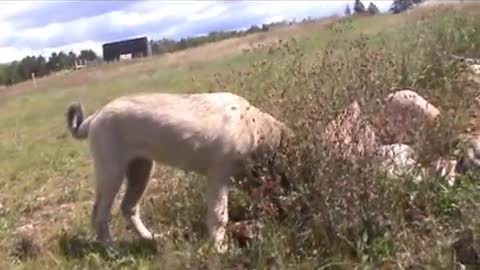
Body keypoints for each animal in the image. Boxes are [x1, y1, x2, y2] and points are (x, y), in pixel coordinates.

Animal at [65, 92, 290, 252]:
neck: (254, 129)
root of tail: (95, 116)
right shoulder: (218, 177)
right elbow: (219, 216)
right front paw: (220, 249)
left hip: (141, 169)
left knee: (128, 207)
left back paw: (150, 238)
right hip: (112, 172)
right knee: (101, 214)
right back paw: (111, 248)